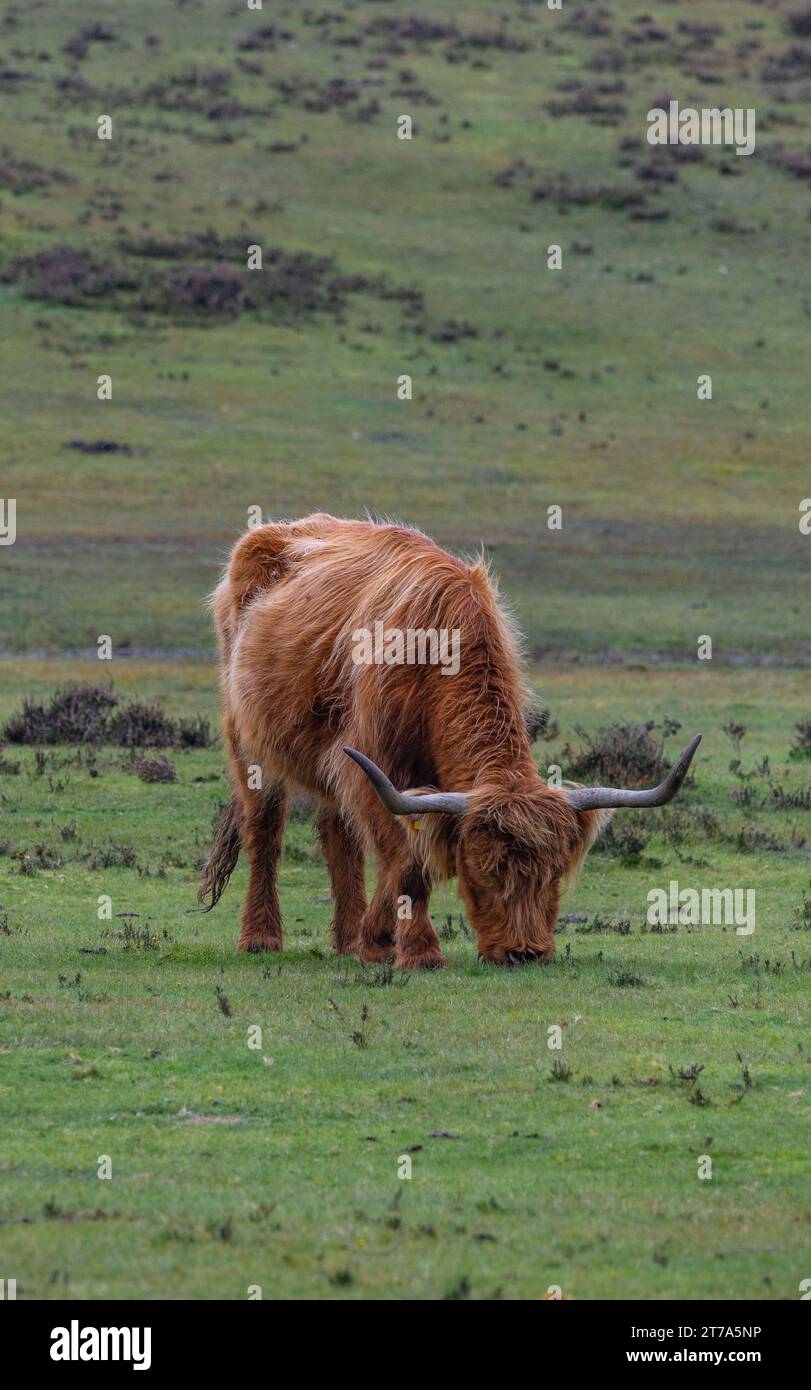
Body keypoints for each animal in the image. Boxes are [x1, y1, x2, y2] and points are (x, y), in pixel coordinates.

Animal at [200, 514, 701, 967]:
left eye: (555, 873)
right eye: (482, 869)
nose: (524, 953)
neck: (437, 652)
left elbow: (405, 855)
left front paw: (376, 939)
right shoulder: (373, 767)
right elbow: (407, 861)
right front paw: (416, 950)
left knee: (338, 838)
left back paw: (346, 939)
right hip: (248, 743)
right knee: (265, 832)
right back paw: (261, 938)